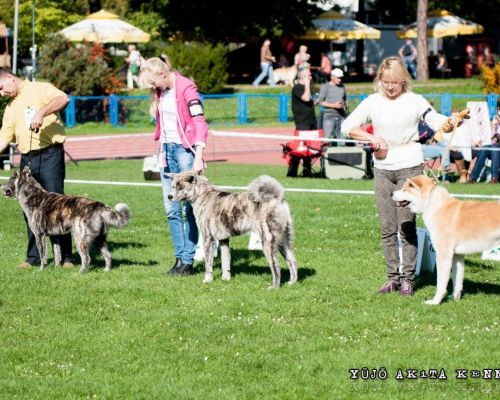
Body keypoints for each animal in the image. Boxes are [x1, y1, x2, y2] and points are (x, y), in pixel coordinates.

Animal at [2, 167, 131, 274]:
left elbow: (42, 255)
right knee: (108, 255)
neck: (33, 196)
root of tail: (99, 206)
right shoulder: (55, 237)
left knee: (86, 258)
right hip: (100, 239)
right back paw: (106, 270)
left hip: (80, 238)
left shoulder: (40, 235)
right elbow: (57, 254)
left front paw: (41, 270)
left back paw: (80, 273)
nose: (1, 186)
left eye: (10, 180)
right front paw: (56, 268)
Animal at [166, 172, 298, 288]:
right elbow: (225, 261)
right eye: (172, 186)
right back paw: (292, 283)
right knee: (292, 261)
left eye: (180, 187)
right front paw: (226, 278)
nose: (169, 196)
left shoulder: (208, 238)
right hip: (283, 241)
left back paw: (274, 287)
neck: (202, 195)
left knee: (276, 267)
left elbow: (208, 264)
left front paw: (207, 280)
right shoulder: (224, 240)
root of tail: (276, 199)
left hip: (268, 242)